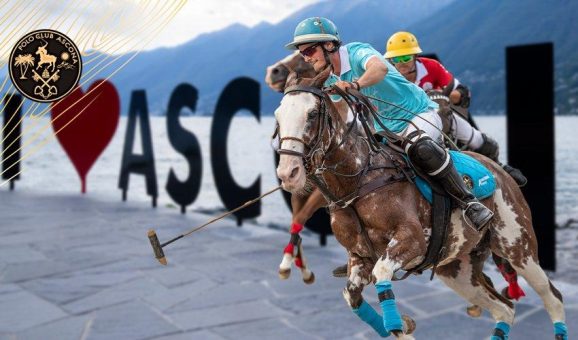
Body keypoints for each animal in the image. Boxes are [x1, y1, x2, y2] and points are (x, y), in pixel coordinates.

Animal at [272, 68, 564, 338]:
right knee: (504, 309)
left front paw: (402, 323)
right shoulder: (358, 255)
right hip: (457, 269)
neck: (358, 181)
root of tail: (500, 170)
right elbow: (352, 295)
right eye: (277, 117)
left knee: (552, 297)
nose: (288, 173)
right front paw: (405, 324)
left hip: (519, 247)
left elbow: (382, 275)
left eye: (311, 114)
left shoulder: (412, 239)